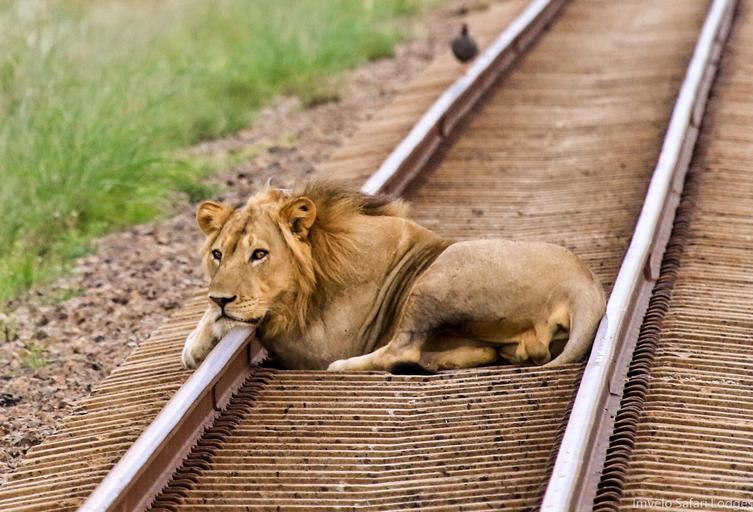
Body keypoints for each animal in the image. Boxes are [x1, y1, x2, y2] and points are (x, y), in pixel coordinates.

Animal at [181, 181, 606, 372]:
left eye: (260, 254)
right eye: (218, 254)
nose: (221, 298)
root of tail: (583, 284)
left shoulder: (326, 342)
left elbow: (264, 319)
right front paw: (197, 341)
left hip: (440, 274)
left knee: (403, 347)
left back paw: (355, 367)